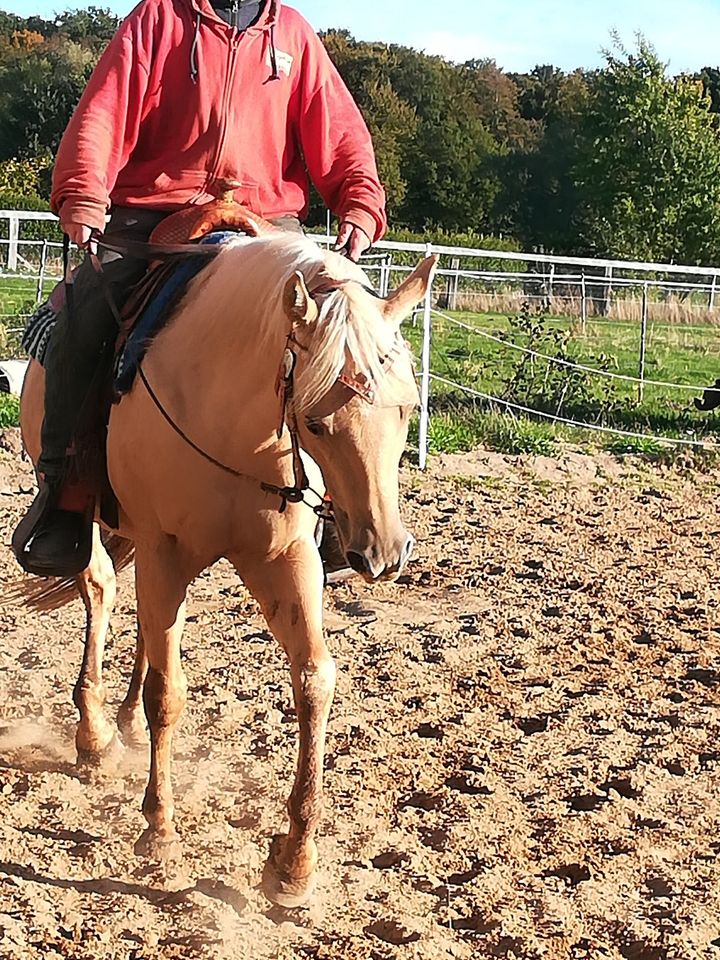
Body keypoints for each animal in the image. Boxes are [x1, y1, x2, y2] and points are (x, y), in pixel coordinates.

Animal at [16, 232, 436, 908]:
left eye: (407, 410)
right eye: (315, 421)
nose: (383, 553)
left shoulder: (285, 560)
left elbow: (314, 681)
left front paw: (295, 863)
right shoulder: (163, 549)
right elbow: (169, 691)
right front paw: (159, 830)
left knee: (149, 624)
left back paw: (123, 722)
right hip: (106, 531)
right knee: (102, 589)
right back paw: (96, 733)